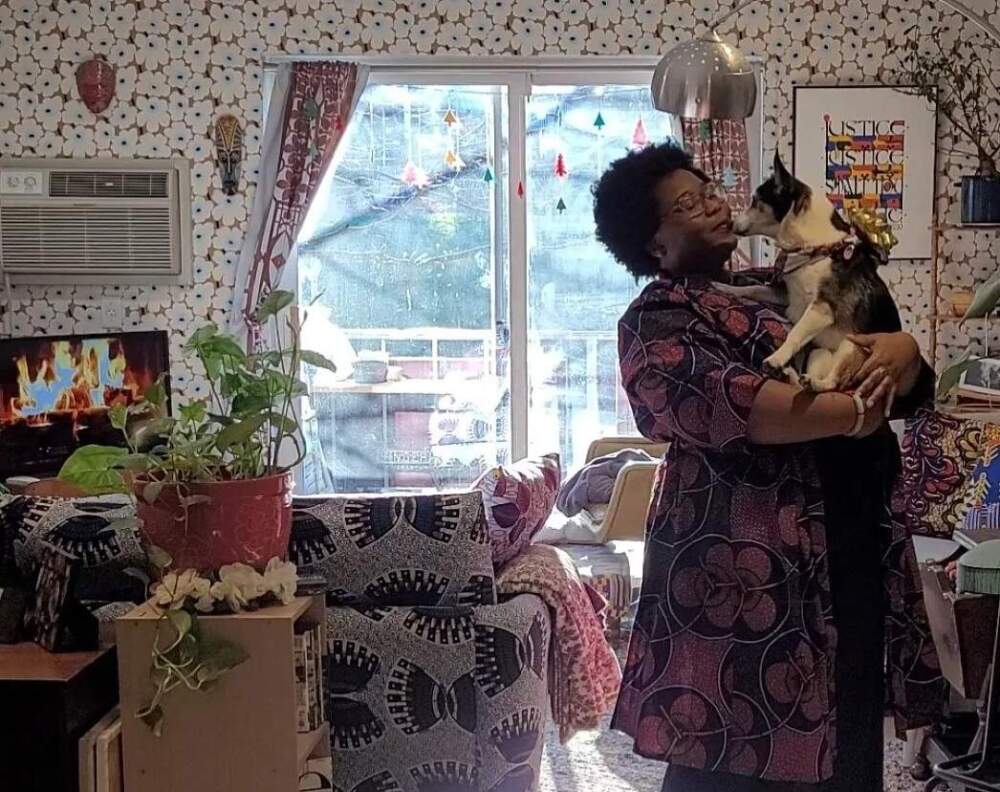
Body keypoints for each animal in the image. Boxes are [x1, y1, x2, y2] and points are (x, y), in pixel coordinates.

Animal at [724, 153, 904, 392]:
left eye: (755, 201)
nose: (730, 222)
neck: (811, 249)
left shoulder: (821, 308)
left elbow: (795, 333)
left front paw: (775, 359)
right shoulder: (787, 296)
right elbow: (753, 289)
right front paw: (723, 286)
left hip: (851, 344)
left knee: (835, 383)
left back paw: (811, 381)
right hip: (819, 352)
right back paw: (797, 378)